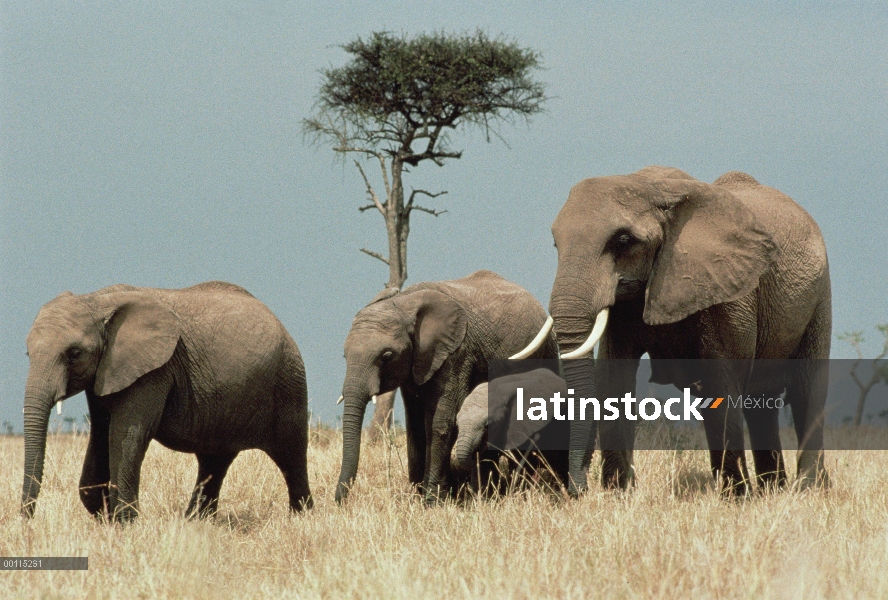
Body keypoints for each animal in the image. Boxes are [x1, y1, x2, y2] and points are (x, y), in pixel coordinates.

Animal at [21, 282, 312, 520]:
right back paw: (196, 521)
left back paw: (301, 518)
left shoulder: (153, 371)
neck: (97, 300)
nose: (27, 519)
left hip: (288, 381)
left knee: (291, 454)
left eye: (74, 353)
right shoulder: (106, 372)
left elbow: (126, 434)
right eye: (27, 354)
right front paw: (106, 515)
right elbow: (101, 434)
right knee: (214, 460)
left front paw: (125, 522)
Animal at [336, 270, 560, 504]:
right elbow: (415, 426)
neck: (405, 302)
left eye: (387, 356)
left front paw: (434, 501)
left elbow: (440, 422)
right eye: (344, 355)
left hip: (547, 350)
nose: (341, 501)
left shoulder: (457, 353)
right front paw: (418, 498)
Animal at [520, 166, 832, 494]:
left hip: (819, 295)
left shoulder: (728, 292)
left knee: (806, 389)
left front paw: (735, 497)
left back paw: (807, 488)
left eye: (623, 241)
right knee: (762, 401)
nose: (576, 490)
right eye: (556, 244)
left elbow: (721, 382)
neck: (656, 189)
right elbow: (613, 379)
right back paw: (774, 490)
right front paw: (618, 494)